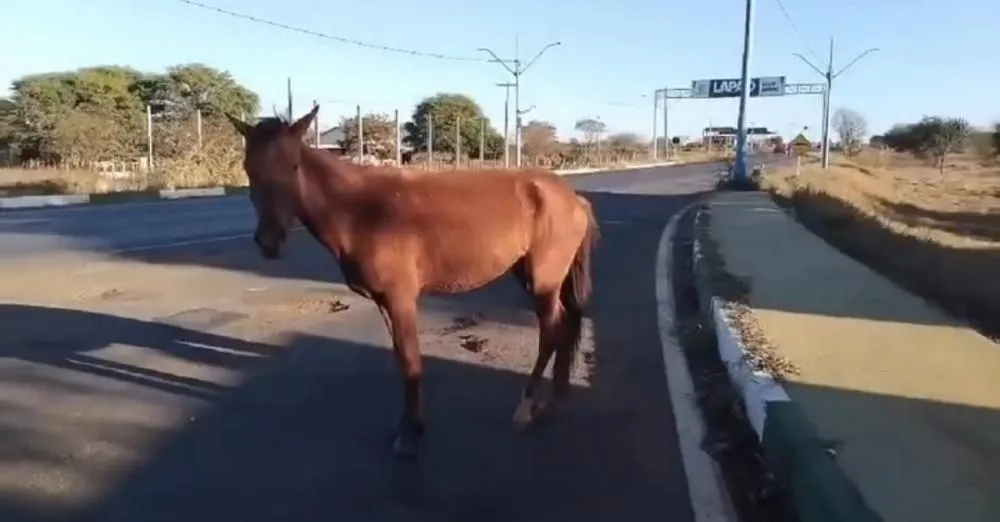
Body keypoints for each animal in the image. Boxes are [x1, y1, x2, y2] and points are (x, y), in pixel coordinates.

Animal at [224, 105, 599, 460]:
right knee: (565, 323)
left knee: (551, 329)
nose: (268, 241)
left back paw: (527, 407)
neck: (362, 213)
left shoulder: (401, 297)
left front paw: (410, 434)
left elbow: (410, 360)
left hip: (543, 280)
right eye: (249, 169)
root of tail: (573, 198)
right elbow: (400, 357)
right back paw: (551, 401)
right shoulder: (384, 302)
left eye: (293, 167)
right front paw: (409, 422)